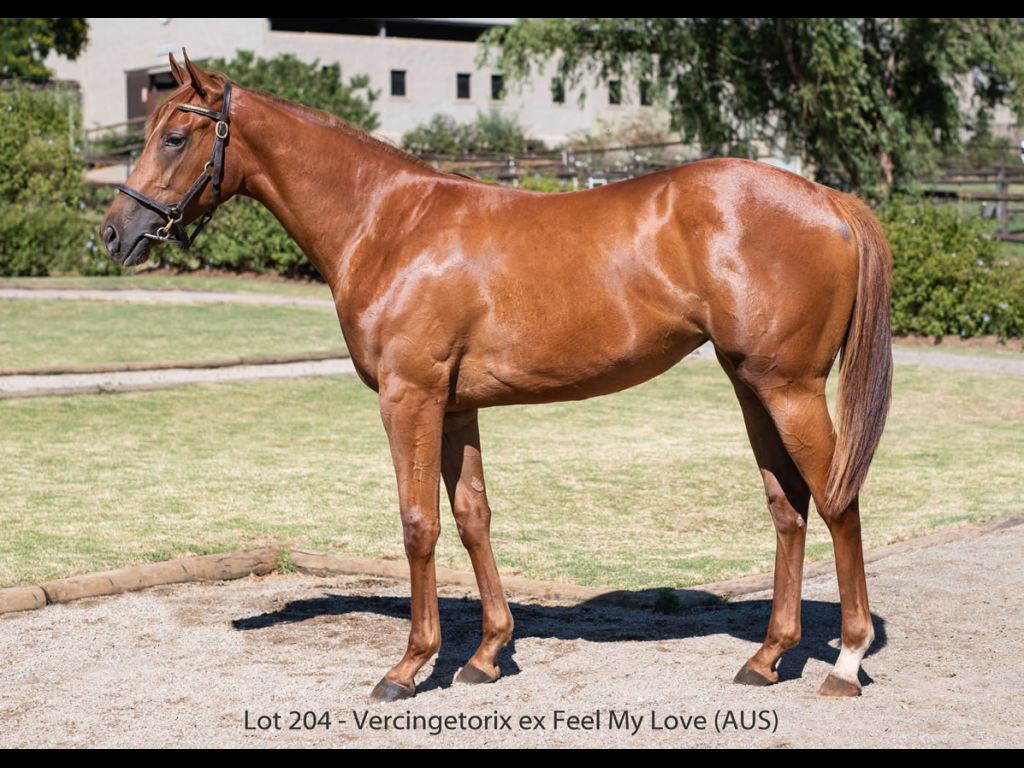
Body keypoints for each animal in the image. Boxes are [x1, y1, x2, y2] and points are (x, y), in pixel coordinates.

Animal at [101, 53, 892, 702]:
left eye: (175, 138)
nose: (113, 233)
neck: (391, 223)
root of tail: (829, 200)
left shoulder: (410, 399)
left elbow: (418, 523)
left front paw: (408, 666)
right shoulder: (456, 408)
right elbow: (472, 517)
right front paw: (485, 655)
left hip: (790, 389)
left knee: (836, 500)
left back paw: (845, 662)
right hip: (752, 385)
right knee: (787, 507)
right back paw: (767, 657)